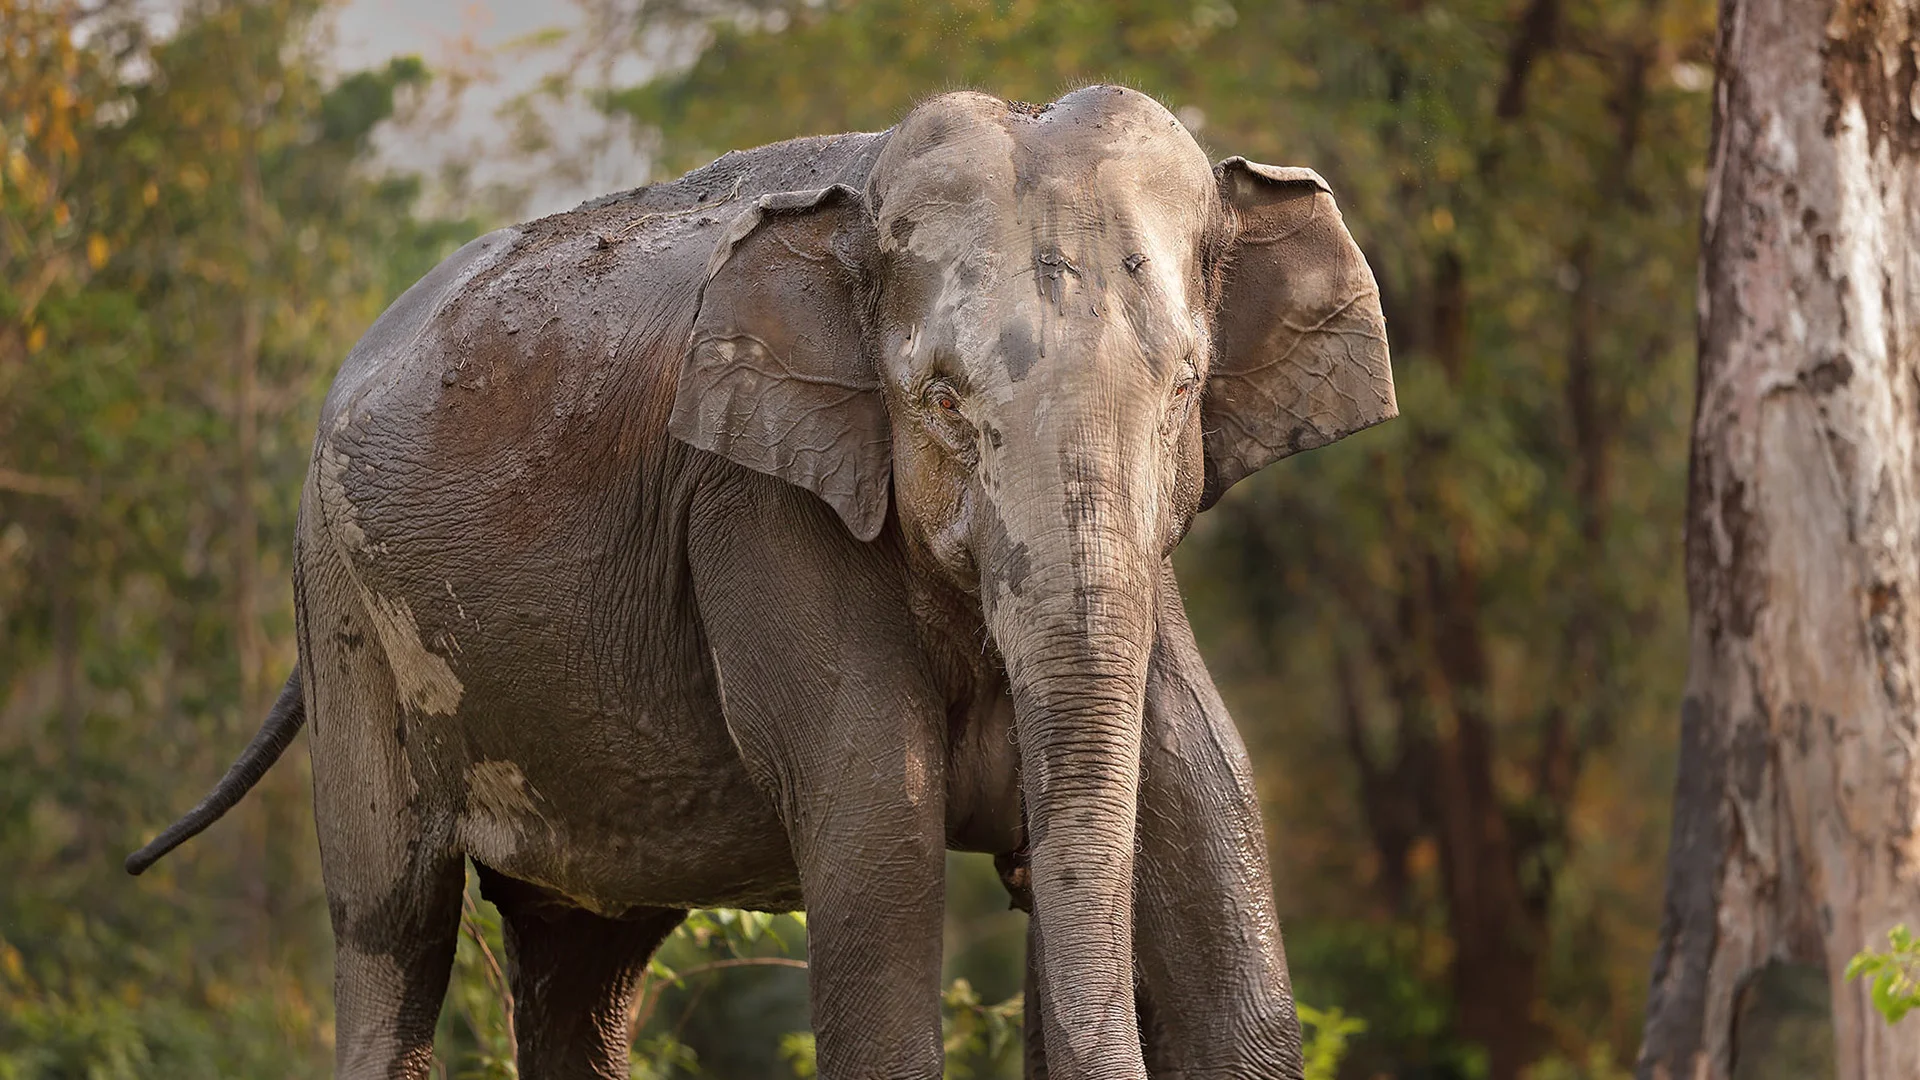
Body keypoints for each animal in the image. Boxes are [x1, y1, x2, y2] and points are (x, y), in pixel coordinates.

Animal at [131, 85, 1397, 1076]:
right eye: (941, 401)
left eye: (1184, 389)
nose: (1026, 872)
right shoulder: (758, 505)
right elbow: (876, 843)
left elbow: (1224, 875)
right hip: (344, 614)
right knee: (394, 922)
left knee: (586, 961)